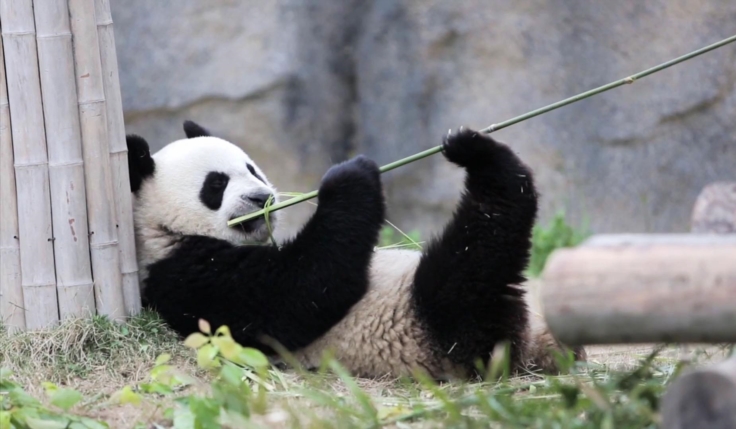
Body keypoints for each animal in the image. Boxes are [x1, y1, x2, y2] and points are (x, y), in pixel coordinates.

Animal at [126, 120, 584, 380]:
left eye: (251, 168)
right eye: (216, 184)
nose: (262, 198)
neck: (160, 230)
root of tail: (534, 349)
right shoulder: (186, 275)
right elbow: (297, 295)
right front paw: (350, 174)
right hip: (439, 328)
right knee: (471, 269)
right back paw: (488, 165)